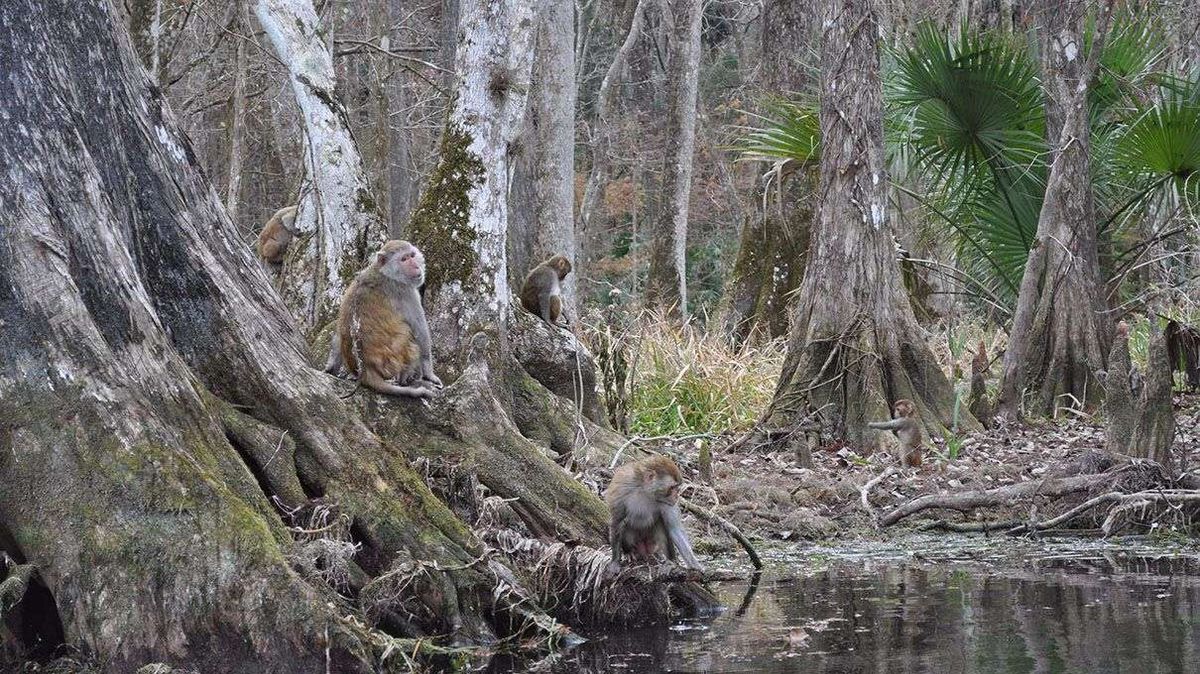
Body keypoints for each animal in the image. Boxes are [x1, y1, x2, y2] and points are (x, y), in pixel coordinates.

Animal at [323, 240, 443, 398]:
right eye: (404, 259)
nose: (415, 266)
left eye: (412, 255)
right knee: (408, 332)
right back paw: (404, 380)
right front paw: (430, 374)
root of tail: (366, 372)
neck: (383, 272)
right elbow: (420, 333)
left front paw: (330, 368)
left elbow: (337, 332)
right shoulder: (406, 292)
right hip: (391, 363)